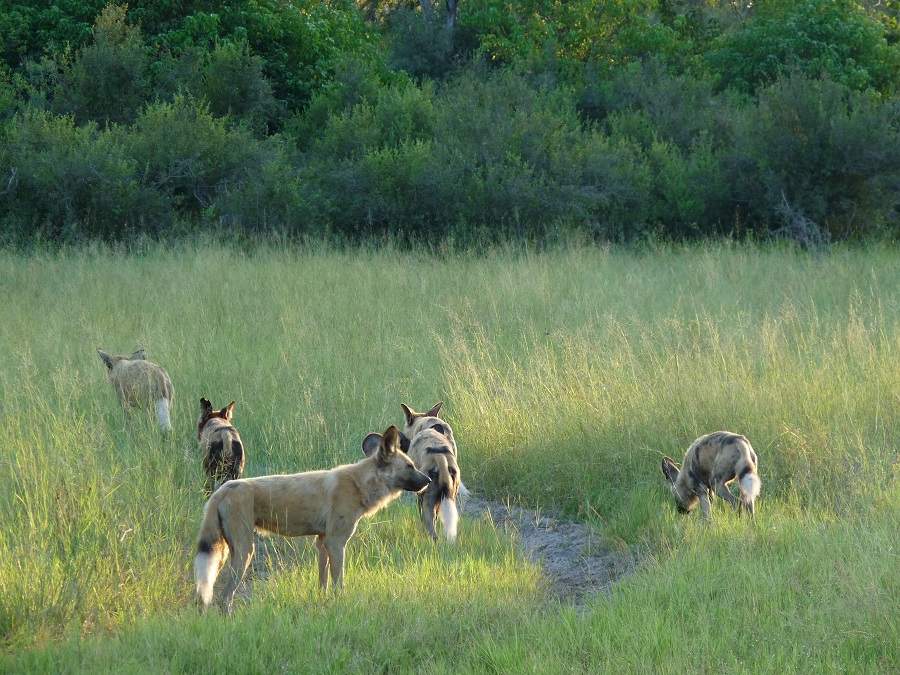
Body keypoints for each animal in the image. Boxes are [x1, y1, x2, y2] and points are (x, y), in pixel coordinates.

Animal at [192, 430, 428, 616]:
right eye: (409, 466)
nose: (429, 480)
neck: (360, 483)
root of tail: (222, 490)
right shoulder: (336, 543)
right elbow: (338, 582)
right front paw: (341, 605)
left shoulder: (322, 543)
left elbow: (323, 583)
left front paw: (324, 604)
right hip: (244, 552)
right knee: (225, 597)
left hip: (222, 553)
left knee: (206, 593)